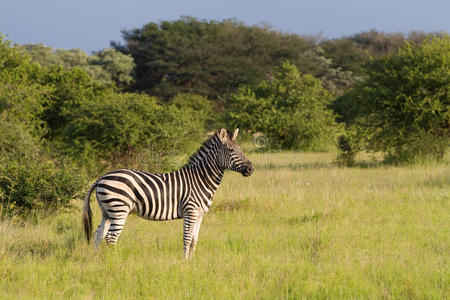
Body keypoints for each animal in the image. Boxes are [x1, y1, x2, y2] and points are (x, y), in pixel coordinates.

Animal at [83, 128, 253, 258]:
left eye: (241, 149)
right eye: (230, 150)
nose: (251, 169)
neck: (200, 179)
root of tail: (102, 177)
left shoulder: (199, 214)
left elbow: (194, 241)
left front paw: (193, 262)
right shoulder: (190, 211)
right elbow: (186, 239)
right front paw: (185, 263)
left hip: (107, 211)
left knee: (98, 234)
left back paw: (97, 259)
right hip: (119, 209)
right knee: (111, 238)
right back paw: (115, 262)